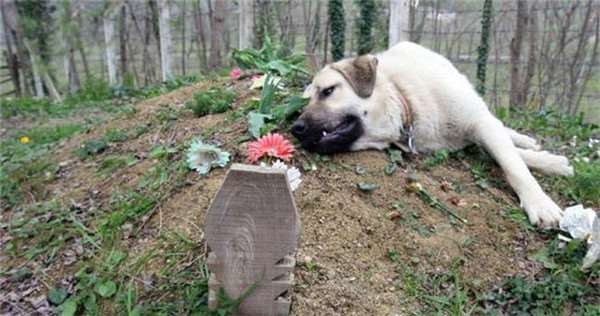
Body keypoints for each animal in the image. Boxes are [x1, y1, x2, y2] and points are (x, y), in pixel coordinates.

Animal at [292, 42, 576, 228]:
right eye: (303, 105)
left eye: (328, 91)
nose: (296, 129)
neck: (405, 100)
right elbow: (509, 156)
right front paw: (551, 162)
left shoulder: (479, 123)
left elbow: (513, 164)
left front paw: (540, 201)